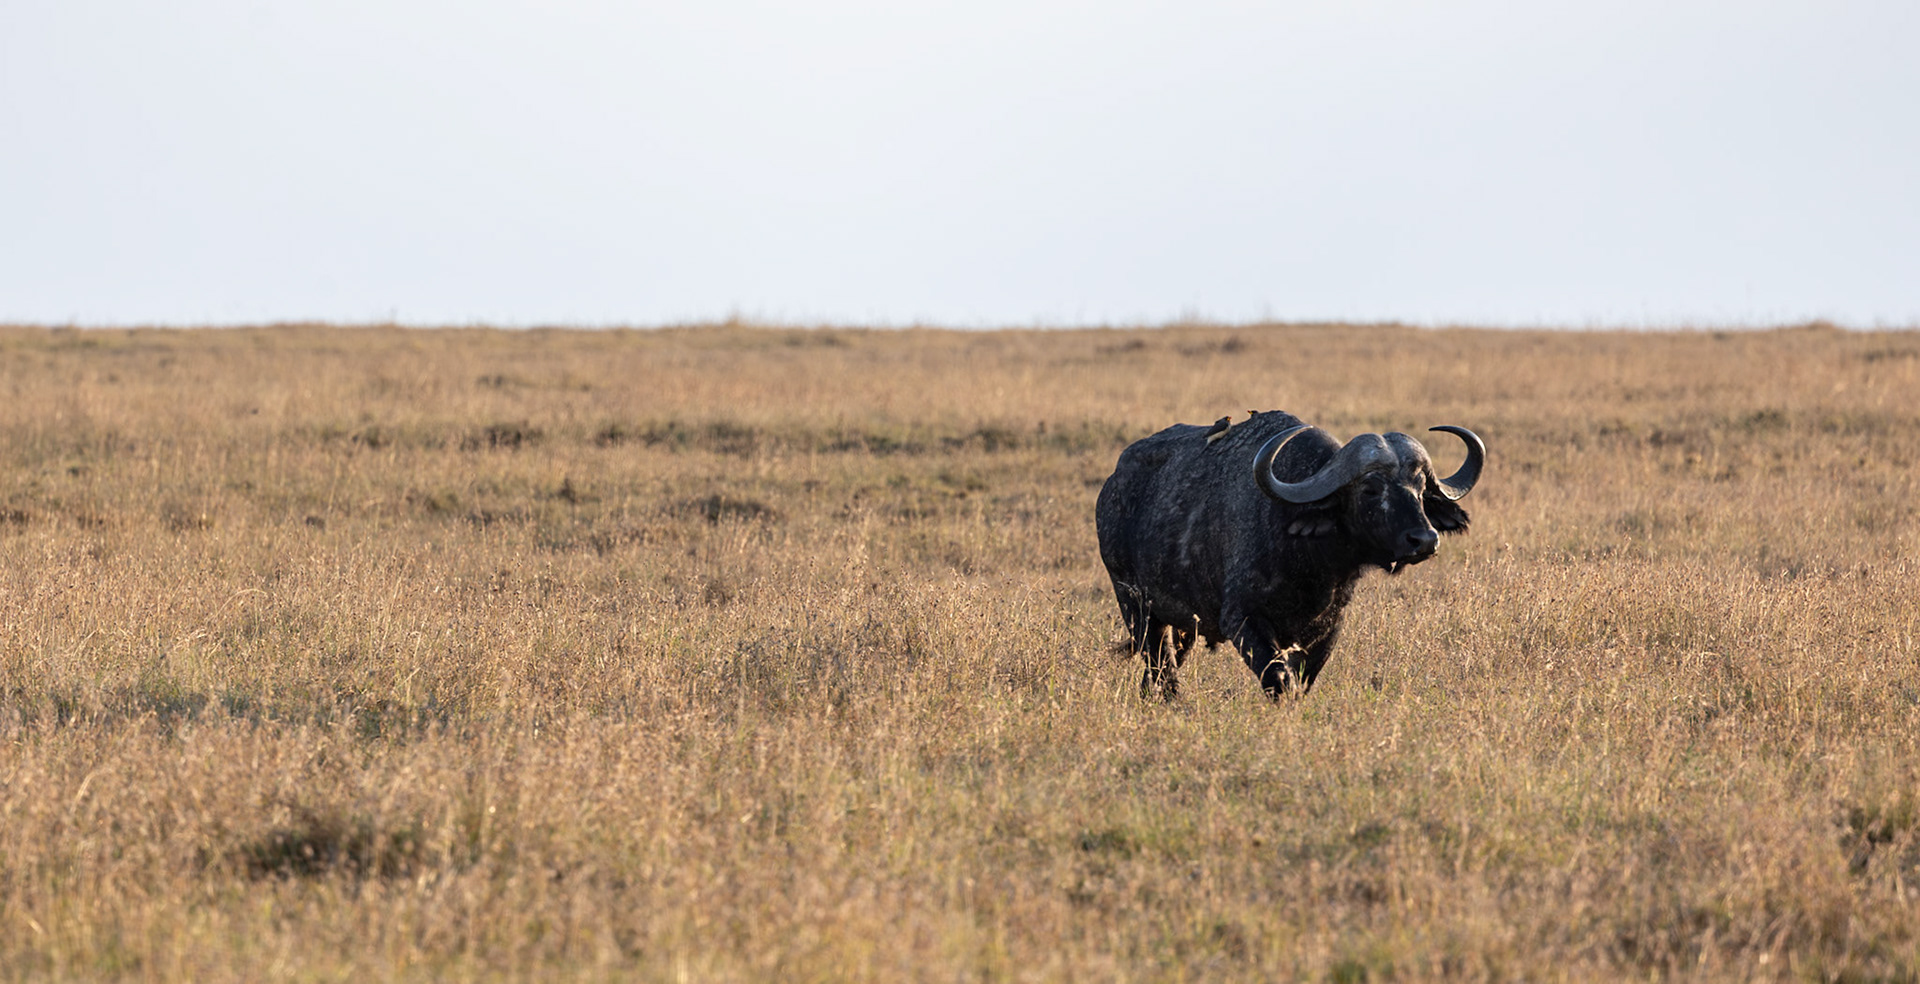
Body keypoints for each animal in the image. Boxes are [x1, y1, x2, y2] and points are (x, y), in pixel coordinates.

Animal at [1094, 411, 1484, 699]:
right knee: (1161, 669)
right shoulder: (1242, 620)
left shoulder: (1326, 630)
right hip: (1137, 608)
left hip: (1181, 624)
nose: (1424, 539)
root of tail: (1112, 486)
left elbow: (1302, 681)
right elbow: (1280, 680)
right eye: (1371, 489)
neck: (1311, 566)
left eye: (1420, 487)